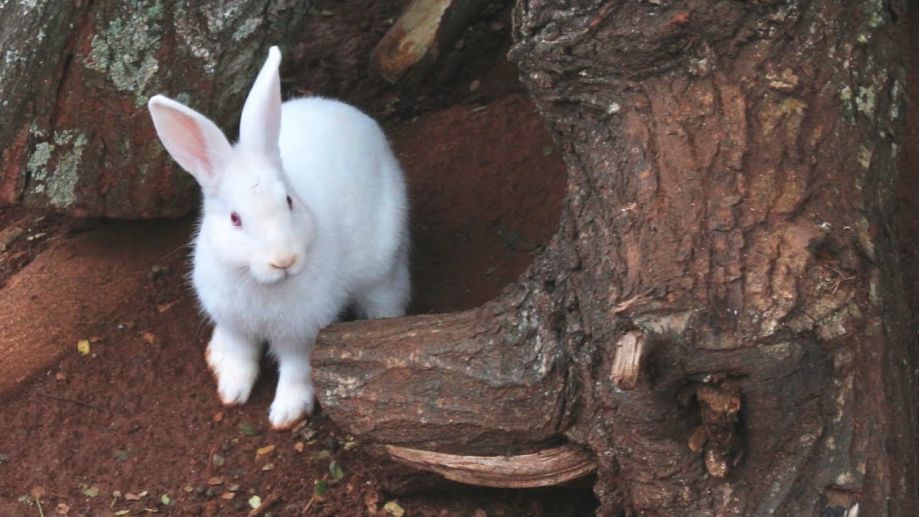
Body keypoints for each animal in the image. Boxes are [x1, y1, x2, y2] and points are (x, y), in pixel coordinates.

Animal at [147, 46, 410, 429]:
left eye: (288, 200)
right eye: (235, 219)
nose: (284, 260)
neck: (258, 282)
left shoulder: (302, 333)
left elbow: (297, 370)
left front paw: (286, 414)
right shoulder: (234, 324)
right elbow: (241, 356)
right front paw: (231, 392)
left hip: (382, 269)